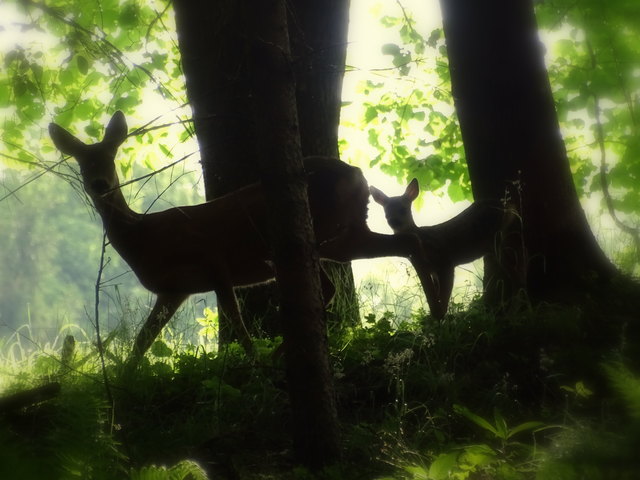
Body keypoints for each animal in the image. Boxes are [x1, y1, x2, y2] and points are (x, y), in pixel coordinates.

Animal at [51, 109, 440, 364]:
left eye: (112, 157)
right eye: (82, 163)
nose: (99, 183)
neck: (145, 237)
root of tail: (357, 174)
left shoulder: (213, 261)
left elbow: (236, 322)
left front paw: (252, 363)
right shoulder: (173, 290)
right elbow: (141, 342)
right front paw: (123, 383)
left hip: (324, 232)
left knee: (389, 252)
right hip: (341, 234)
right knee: (391, 252)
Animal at [370, 178, 516, 316]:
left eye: (403, 209)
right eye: (386, 212)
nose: (393, 221)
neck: (421, 241)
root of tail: (508, 206)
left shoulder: (444, 261)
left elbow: (444, 297)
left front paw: (441, 316)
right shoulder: (432, 270)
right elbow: (437, 294)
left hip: (495, 236)